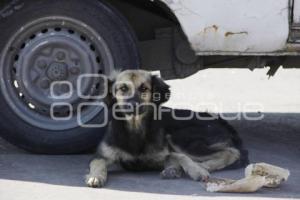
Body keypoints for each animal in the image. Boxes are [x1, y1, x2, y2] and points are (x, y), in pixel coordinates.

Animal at [85, 70, 248, 188]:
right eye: (123, 89)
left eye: (144, 88)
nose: (133, 105)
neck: (135, 128)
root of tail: (220, 121)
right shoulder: (101, 155)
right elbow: (97, 164)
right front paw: (95, 176)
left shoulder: (165, 151)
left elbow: (178, 156)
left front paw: (196, 169)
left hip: (180, 137)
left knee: (232, 152)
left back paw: (202, 165)